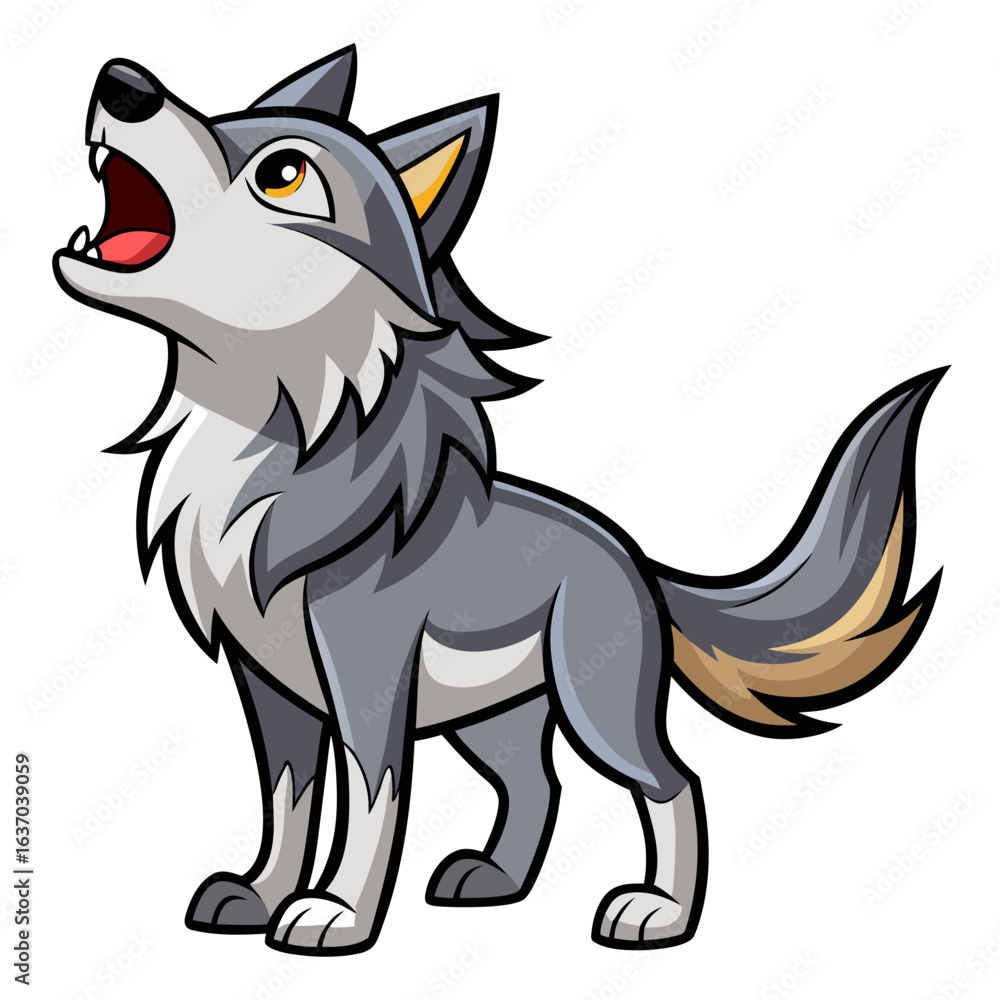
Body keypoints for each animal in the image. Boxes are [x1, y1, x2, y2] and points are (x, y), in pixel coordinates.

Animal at [54, 47, 944, 955]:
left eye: (282, 173)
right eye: (226, 117)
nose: (122, 81)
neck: (261, 445)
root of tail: (633, 555)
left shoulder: (364, 682)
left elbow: (369, 803)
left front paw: (336, 914)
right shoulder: (268, 687)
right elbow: (288, 800)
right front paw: (260, 894)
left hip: (594, 705)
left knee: (671, 780)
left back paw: (658, 913)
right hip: (491, 720)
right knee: (538, 784)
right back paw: (494, 882)